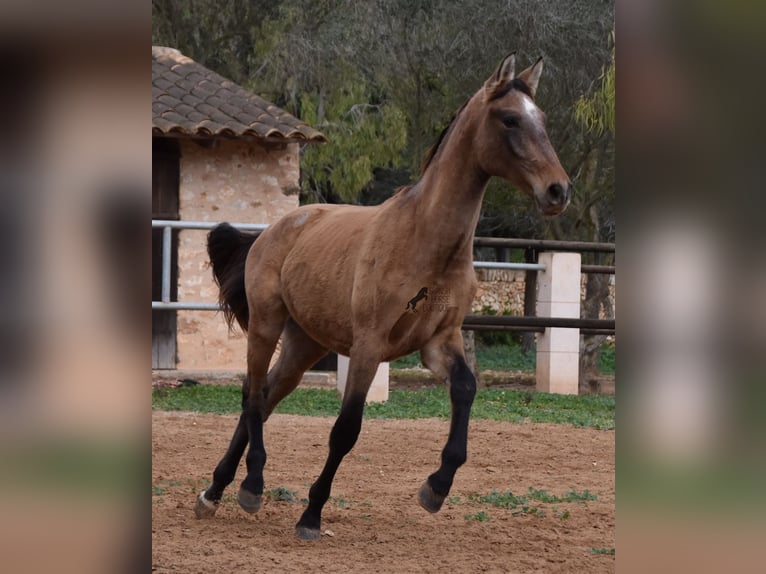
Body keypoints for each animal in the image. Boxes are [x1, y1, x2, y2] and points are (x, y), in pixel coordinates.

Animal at [195, 51, 572, 544]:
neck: (425, 243)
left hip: (303, 345)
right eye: (510, 119)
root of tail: (274, 230)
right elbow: (346, 429)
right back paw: (251, 487)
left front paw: (436, 488)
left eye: (541, 119)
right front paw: (311, 515)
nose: (558, 190)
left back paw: (216, 491)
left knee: (267, 396)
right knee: (254, 396)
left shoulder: (439, 341)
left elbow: (466, 388)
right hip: (265, 325)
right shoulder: (369, 346)